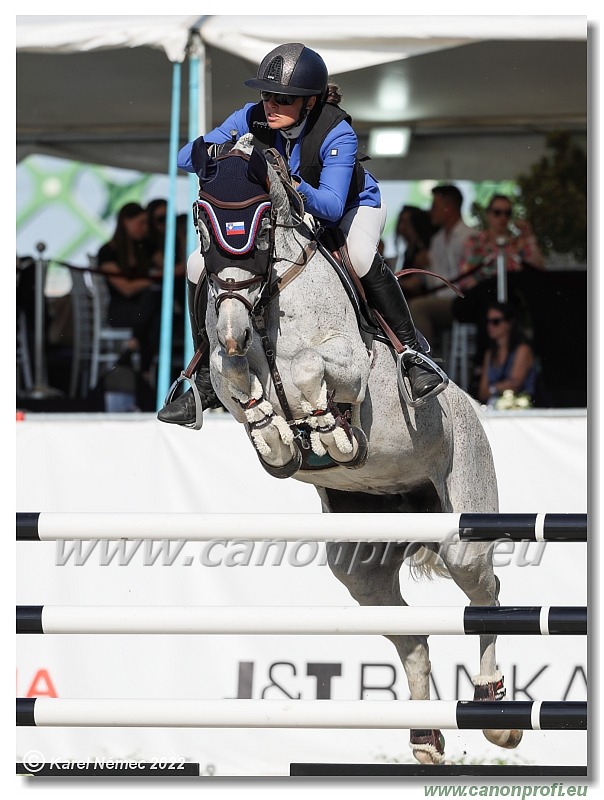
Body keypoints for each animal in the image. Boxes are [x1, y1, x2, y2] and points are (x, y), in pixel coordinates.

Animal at [188, 134, 520, 764]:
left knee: (485, 590)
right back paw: (425, 738)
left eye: (261, 227)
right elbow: (240, 382)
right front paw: (276, 441)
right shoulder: (224, 365)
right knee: (409, 635)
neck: (268, 301)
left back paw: (498, 714)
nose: (234, 326)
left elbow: (307, 373)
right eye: (202, 221)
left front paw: (325, 432)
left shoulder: (349, 365)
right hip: (360, 562)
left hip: (461, 528)